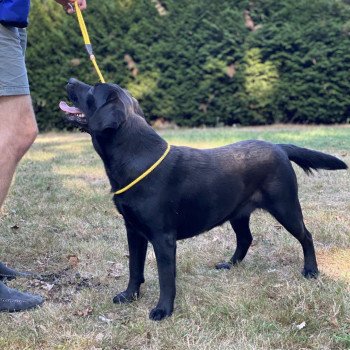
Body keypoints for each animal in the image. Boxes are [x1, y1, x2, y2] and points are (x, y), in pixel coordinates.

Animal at [60, 78, 348, 320]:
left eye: (93, 89)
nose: (70, 80)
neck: (136, 156)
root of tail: (279, 146)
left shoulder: (163, 238)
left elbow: (166, 277)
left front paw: (163, 310)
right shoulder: (133, 230)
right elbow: (134, 267)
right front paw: (129, 296)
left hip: (285, 206)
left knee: (306, 235)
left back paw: (311, 271)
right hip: (238, 212)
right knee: (246, 238)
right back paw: (230, 264)